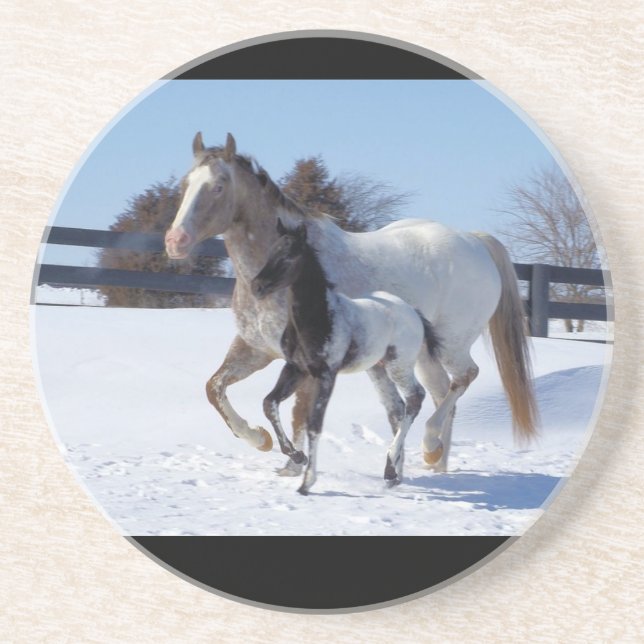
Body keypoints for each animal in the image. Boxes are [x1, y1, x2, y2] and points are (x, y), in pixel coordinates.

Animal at [251, 219, 440, 494]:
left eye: (290, 255)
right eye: (271, 251)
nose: (256, 286)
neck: (318, 317)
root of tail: (413, 312)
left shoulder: (326, 374)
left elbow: (314, 424)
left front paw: (307, 482)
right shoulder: (295, 368)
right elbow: (269, 403)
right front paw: (297, 456)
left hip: (399, 365)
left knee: (416, 398)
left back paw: (391, 466)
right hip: (378, 369)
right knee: (397, 408)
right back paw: (393, 474)